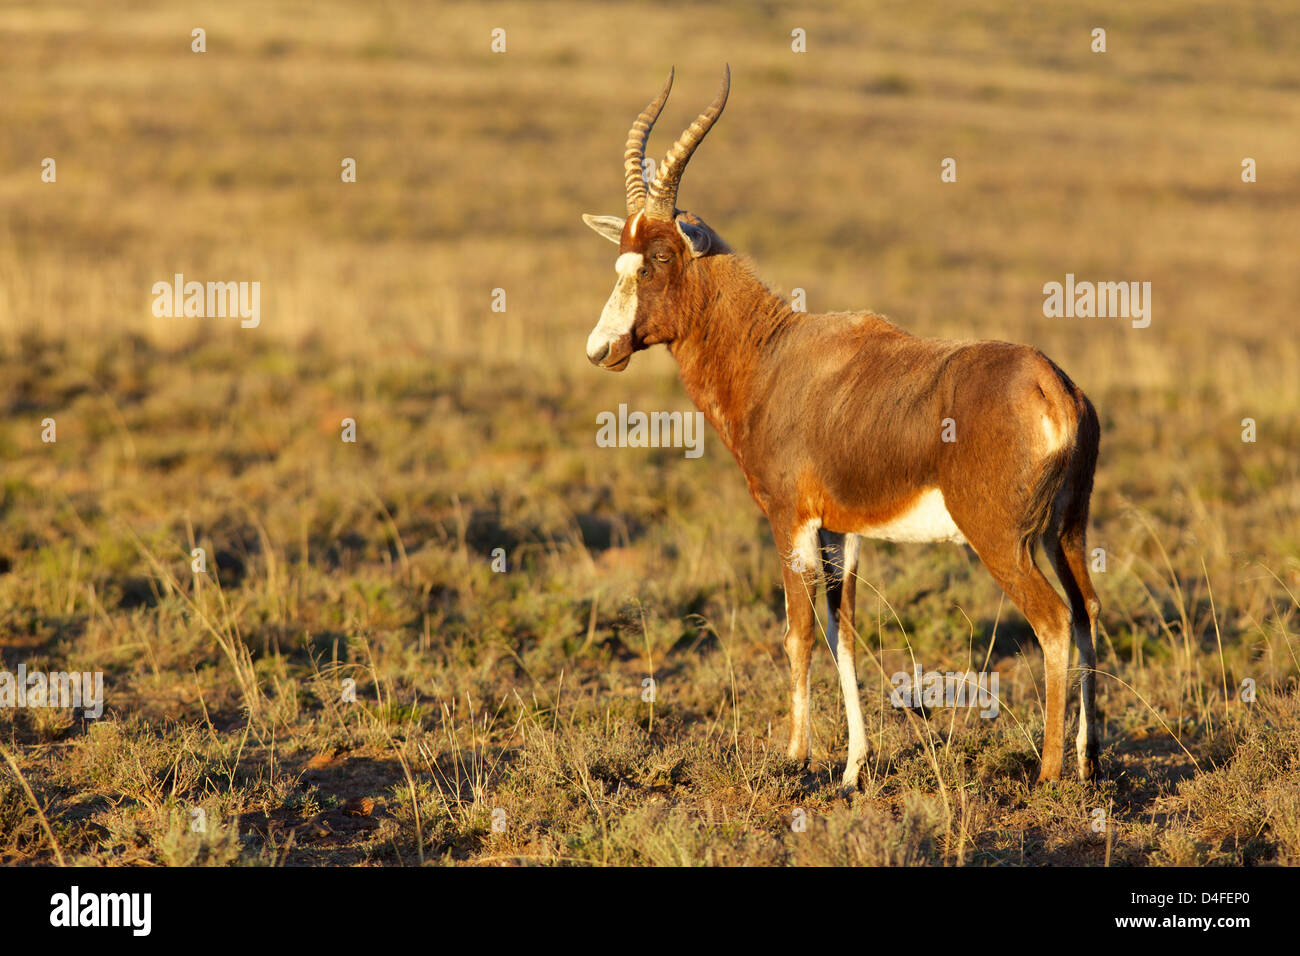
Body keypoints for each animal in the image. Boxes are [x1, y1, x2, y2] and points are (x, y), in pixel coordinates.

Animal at [585, 63, 1102, 790]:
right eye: (621, 258)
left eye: (659, 258)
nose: (602, 349)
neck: (777, 351)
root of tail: (1051, 385)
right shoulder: (842, 530)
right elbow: (844, 633)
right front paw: (854, 767)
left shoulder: (790, 521)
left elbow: (799, 633)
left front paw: (797, 756)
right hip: (1067, 531)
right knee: (1086, 613)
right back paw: (1088, 759)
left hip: (1003, 540)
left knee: (1054, 622)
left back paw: (1050, 771)